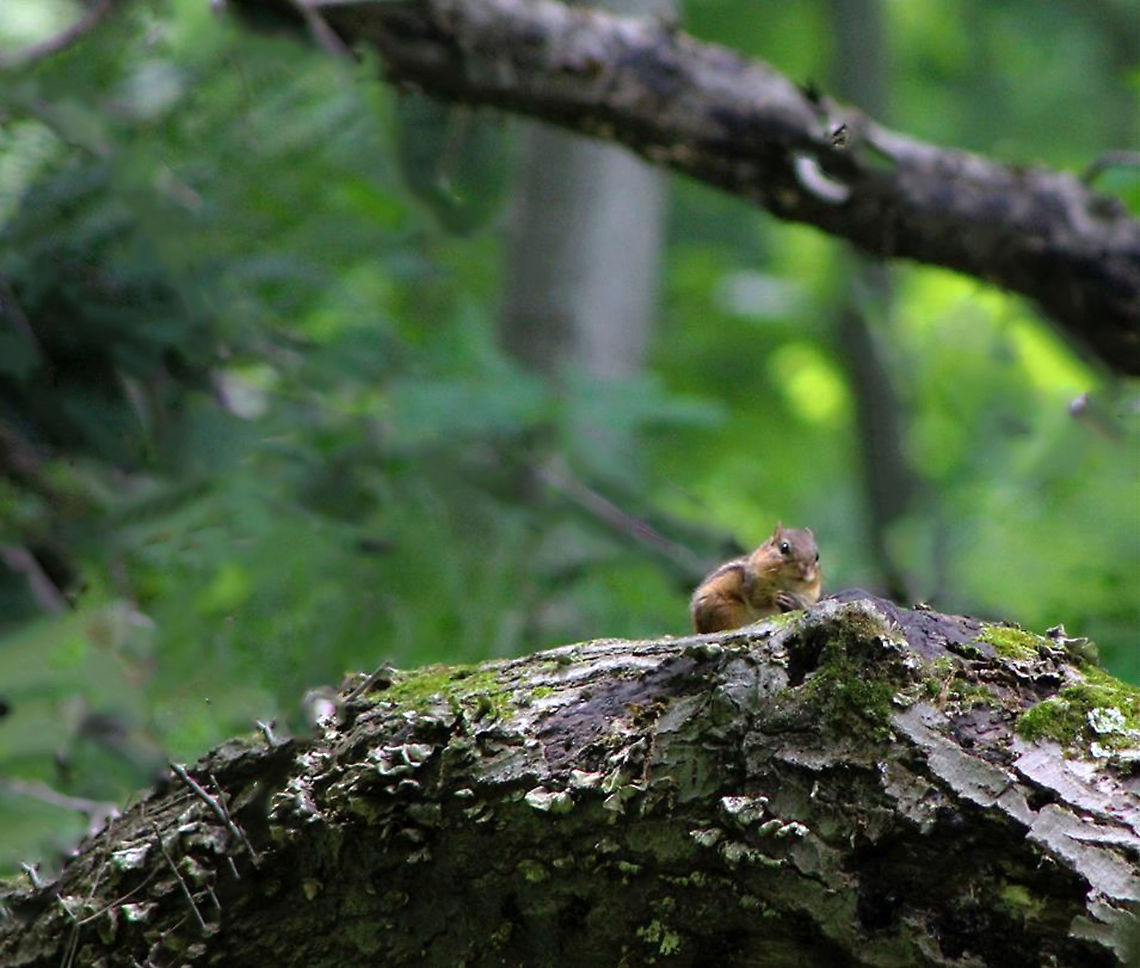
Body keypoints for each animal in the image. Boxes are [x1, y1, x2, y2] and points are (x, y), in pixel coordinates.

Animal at [690, 523, 821, 633]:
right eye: (784, 547)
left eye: (817, 556)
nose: (805, 571)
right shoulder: (754, 589)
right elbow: (764, 608)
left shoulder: (810, 594)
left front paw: (795, 602)